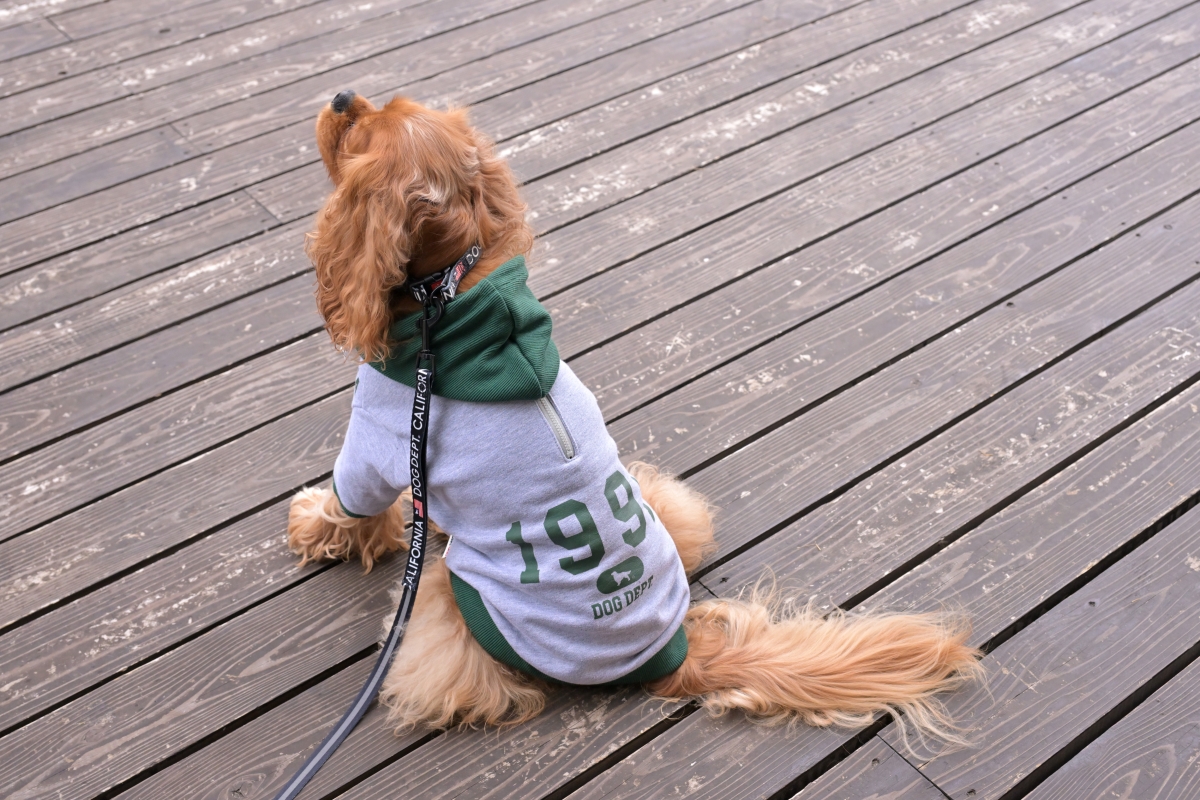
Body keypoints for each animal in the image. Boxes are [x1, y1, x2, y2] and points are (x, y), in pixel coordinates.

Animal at [288, 91, 982, 742]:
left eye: (356, 133)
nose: (342, 96)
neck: (452, 290)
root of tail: (671, 653)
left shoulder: (378, 439)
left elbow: (352, 502)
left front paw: (314, 524)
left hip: (448, 594)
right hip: (664, 504)